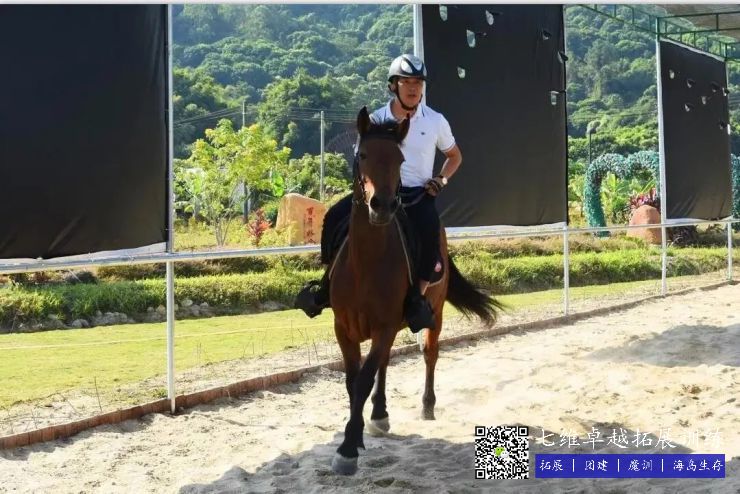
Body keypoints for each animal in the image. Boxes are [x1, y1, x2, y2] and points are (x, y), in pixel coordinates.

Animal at [329, 106, 503, 475]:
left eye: (399, 158)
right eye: (363, 155)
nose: (381, 206)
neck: (366, 263)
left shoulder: (384, 326)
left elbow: (363, 380)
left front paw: (348, 448)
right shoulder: (344, 328)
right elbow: (354, 381)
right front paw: (358, 433)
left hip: (433, 313)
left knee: (429, 353)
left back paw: (427, 405)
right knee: (383, 363)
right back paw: (380, 414)